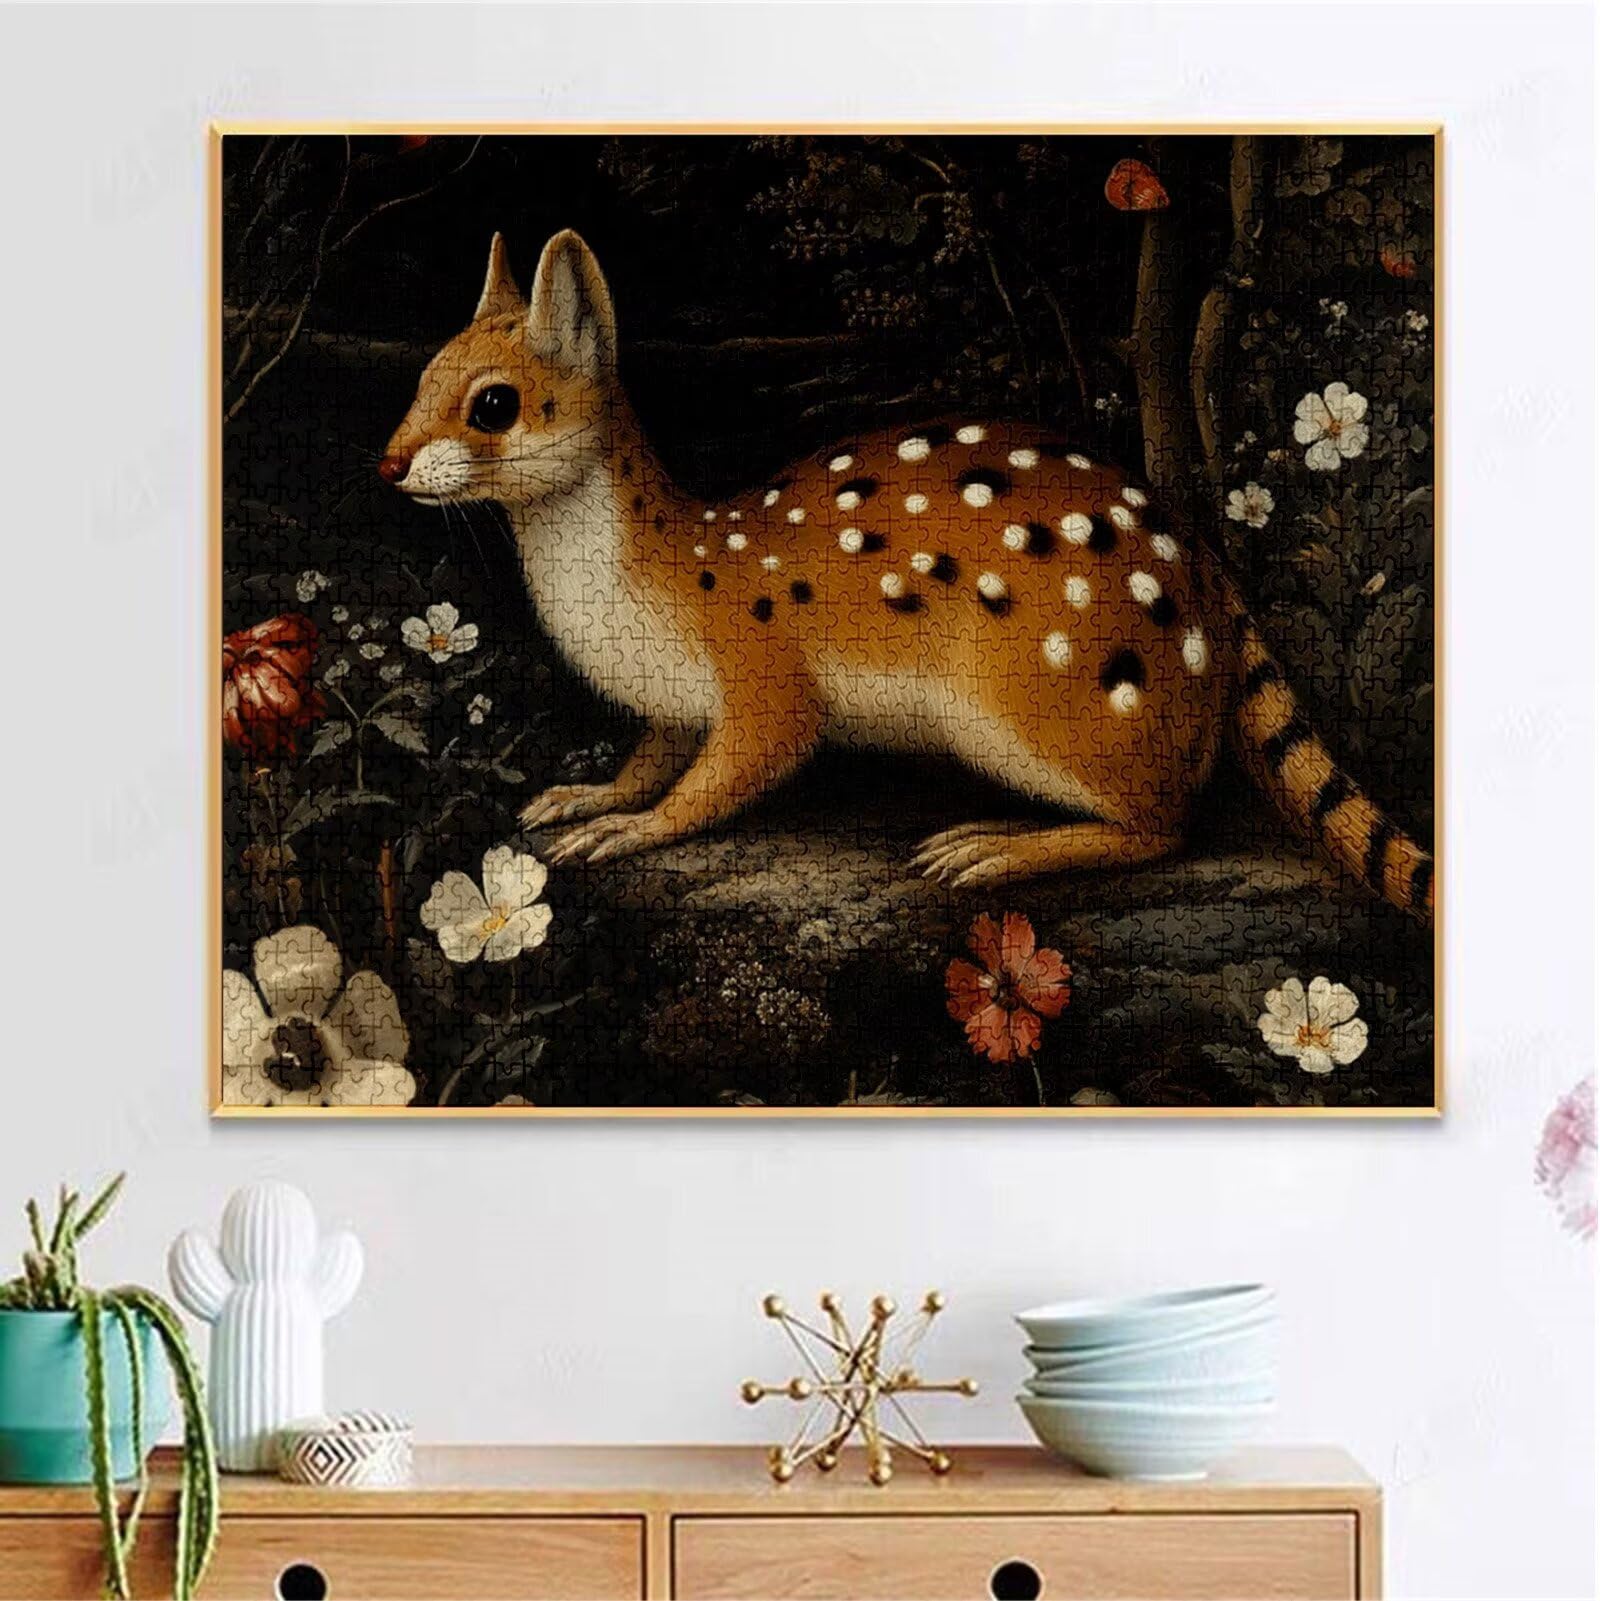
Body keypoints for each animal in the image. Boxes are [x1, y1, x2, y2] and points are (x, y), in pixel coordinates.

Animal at [379, 229, 1434, 924]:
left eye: (494, 405)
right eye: (422, 379)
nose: (386, 465)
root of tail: (1208, 571)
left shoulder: (759, 677)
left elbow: (732, 770)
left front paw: (636, 829)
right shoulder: (673, 700)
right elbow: (651, 754)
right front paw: (589, 796)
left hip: (1033, 706)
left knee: (1163, 826)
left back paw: (996, 846)